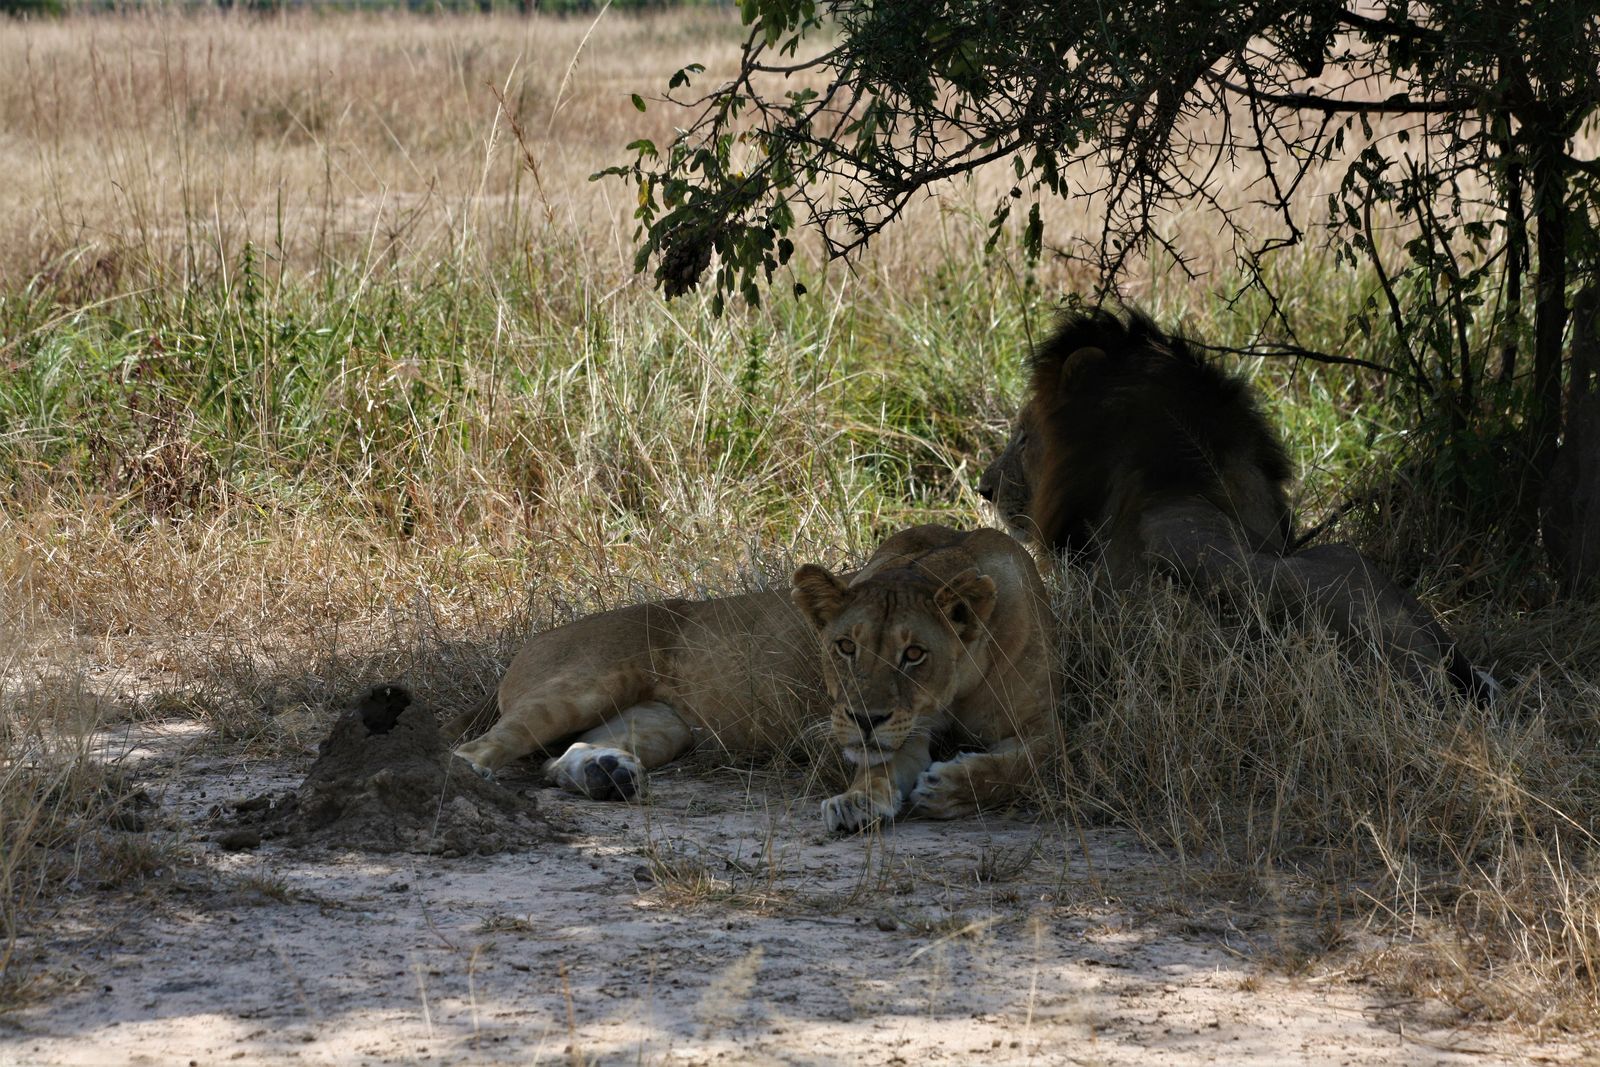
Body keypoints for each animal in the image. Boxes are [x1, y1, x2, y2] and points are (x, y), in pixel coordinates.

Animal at [448, 524, 1062, 831]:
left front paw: (948, 788)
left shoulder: (1045, 726)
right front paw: (858, 800)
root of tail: (530, 641)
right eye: (844, 647)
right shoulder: (893, 730)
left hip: (666, 725)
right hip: (583, 685)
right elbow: (880, 768)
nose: (863, 718)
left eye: (914, 654)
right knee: (476, 748)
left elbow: (1028, 764)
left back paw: (606, 774)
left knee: (557, 759)